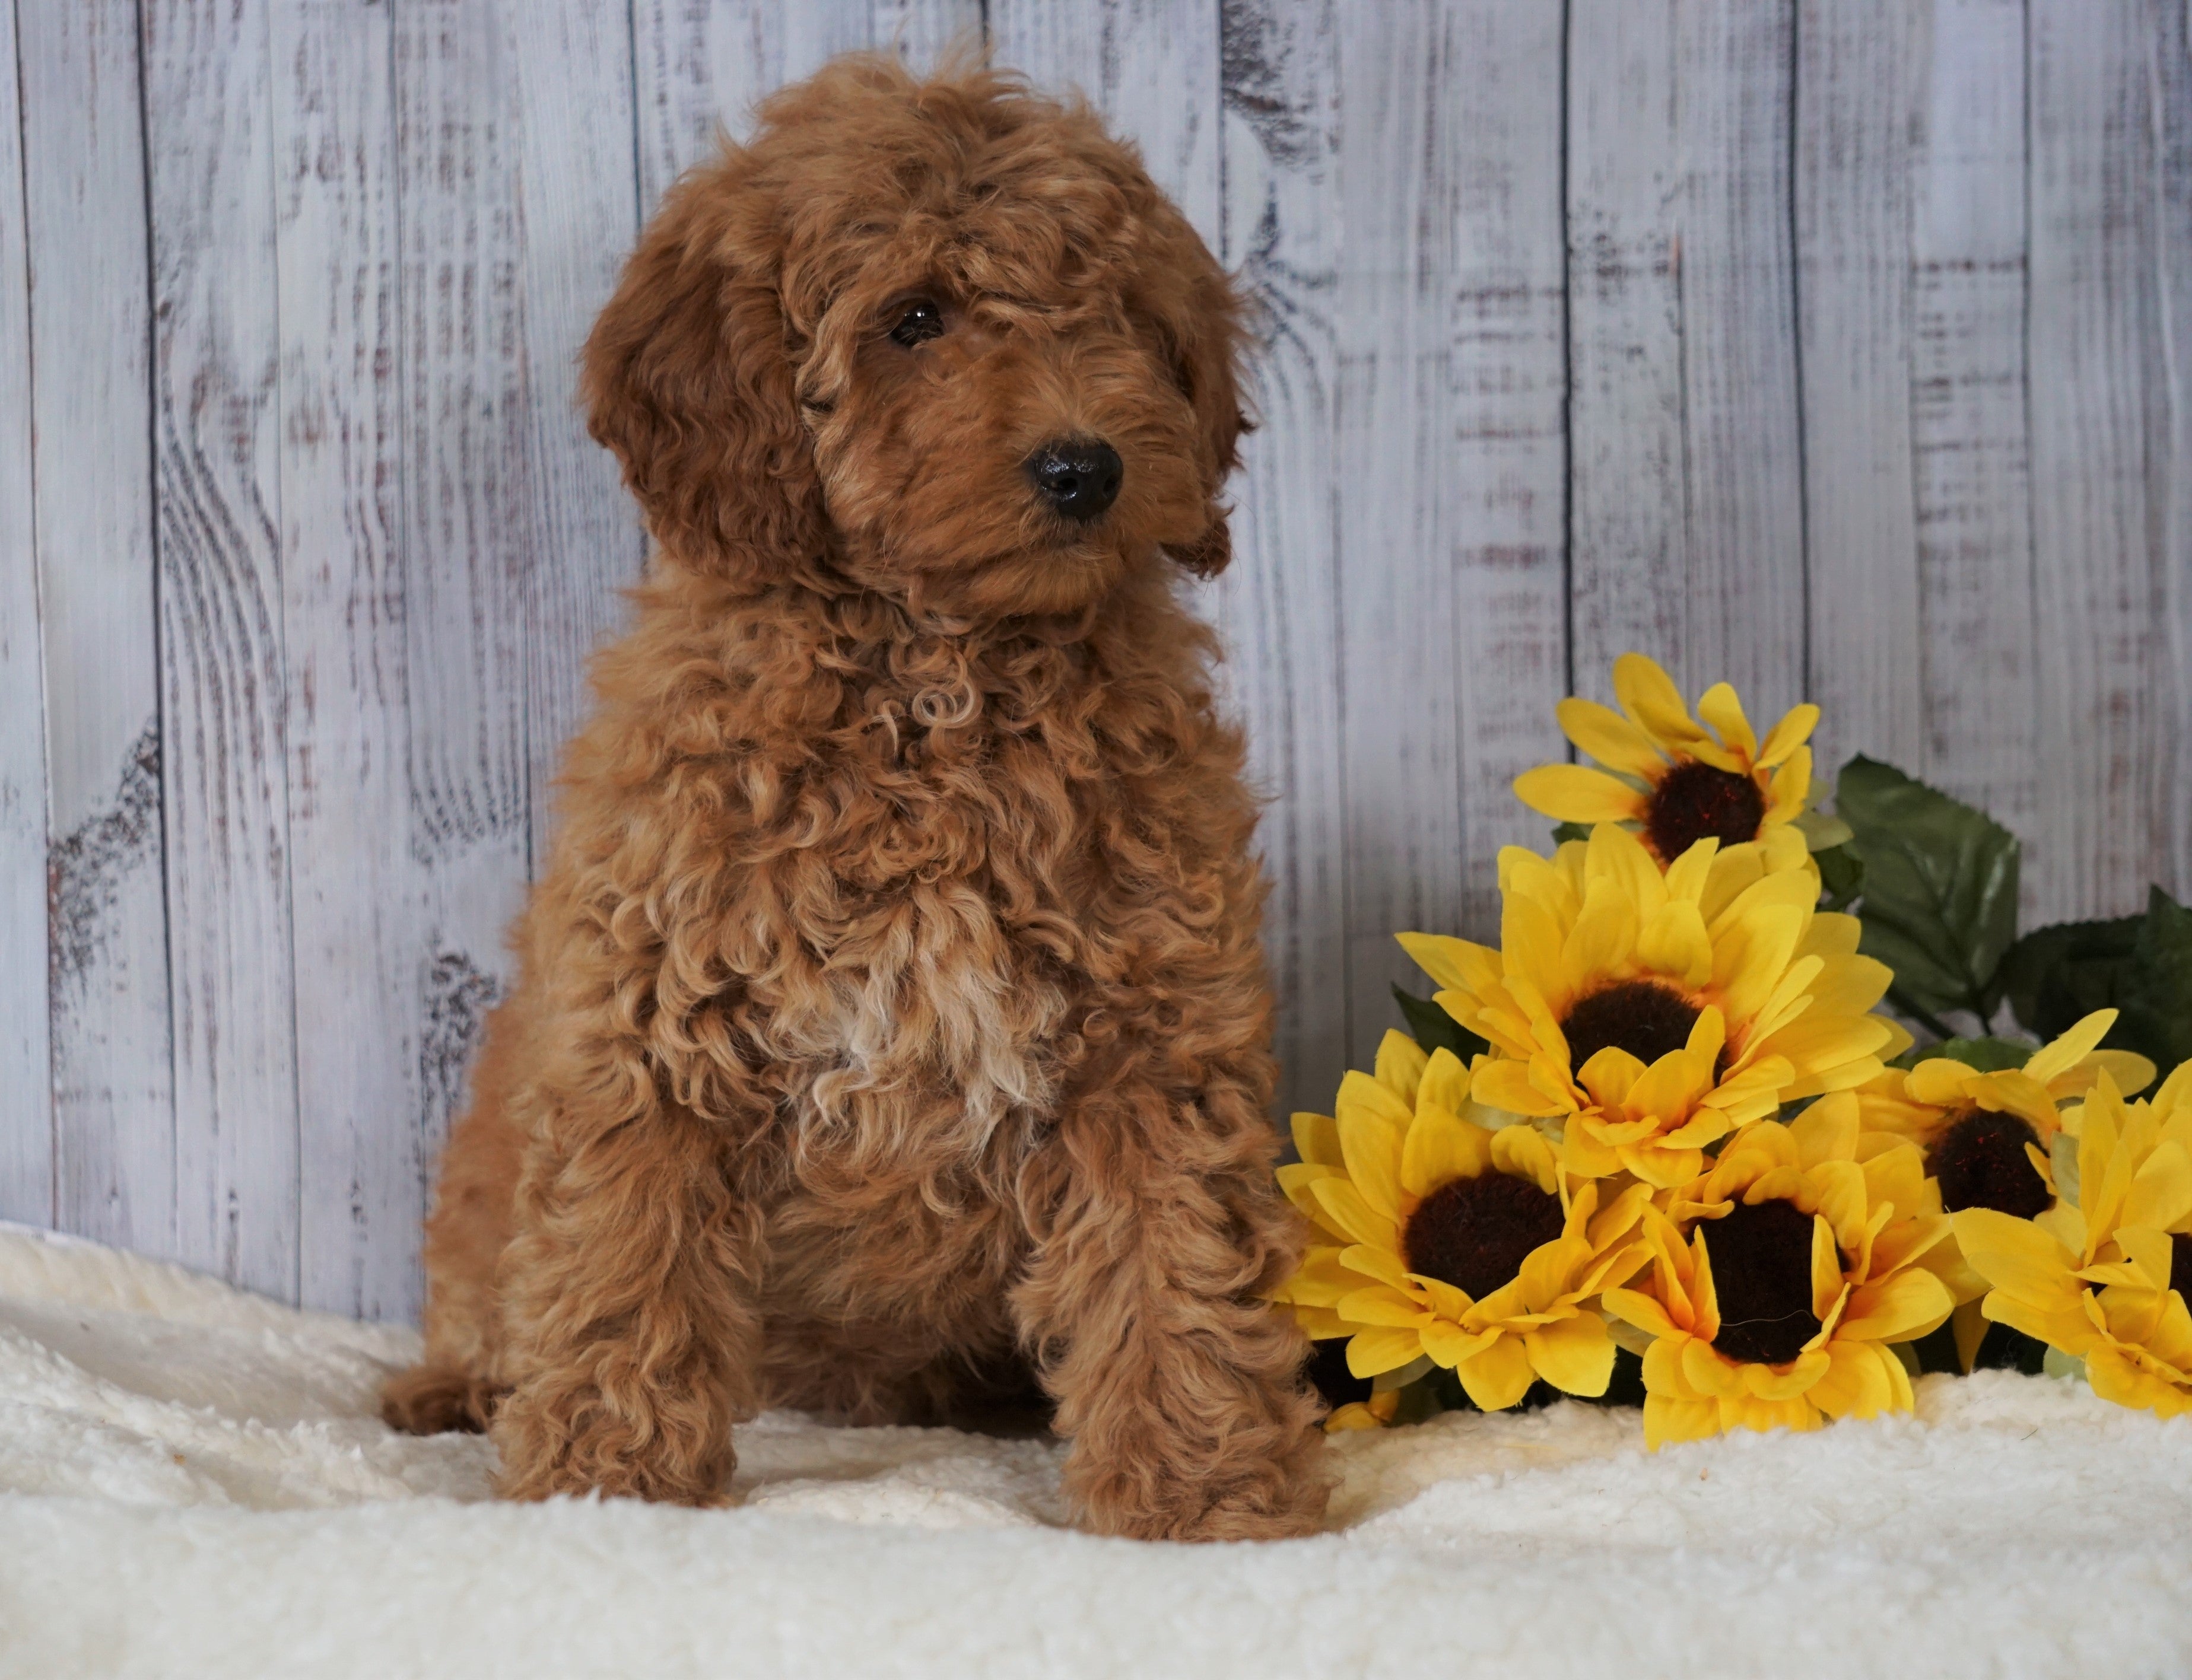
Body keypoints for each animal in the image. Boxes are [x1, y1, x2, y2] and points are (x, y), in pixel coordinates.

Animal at [381, 52, 1315, 1542]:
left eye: (1116, 316)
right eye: (912, 320)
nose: (1086, 466)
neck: (938, 681)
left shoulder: (1148, 1037)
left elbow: (1168, 1258)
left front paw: (1199, 1496)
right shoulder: (655, 1026)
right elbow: (620, 1260)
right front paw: (602, 1484)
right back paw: (455, 1385)